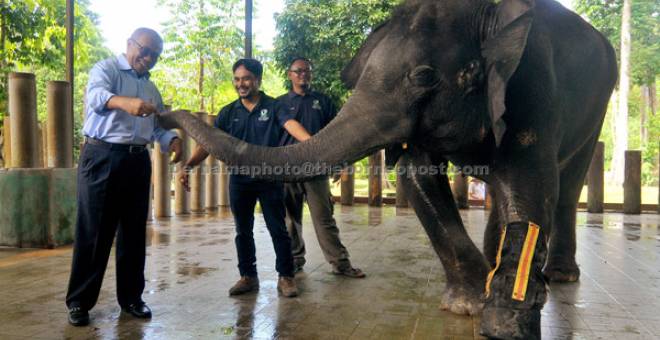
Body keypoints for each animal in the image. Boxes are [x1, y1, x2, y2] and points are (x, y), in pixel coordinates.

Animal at [160, 0, 620, 338]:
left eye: (424, 76)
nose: (163, 115)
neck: (481, 12)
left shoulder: (533, 79)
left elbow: (528, 180)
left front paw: (501, 320)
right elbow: (417, 175)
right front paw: (468, 304)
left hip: (599, 103)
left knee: (567, 183)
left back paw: (560, 275)